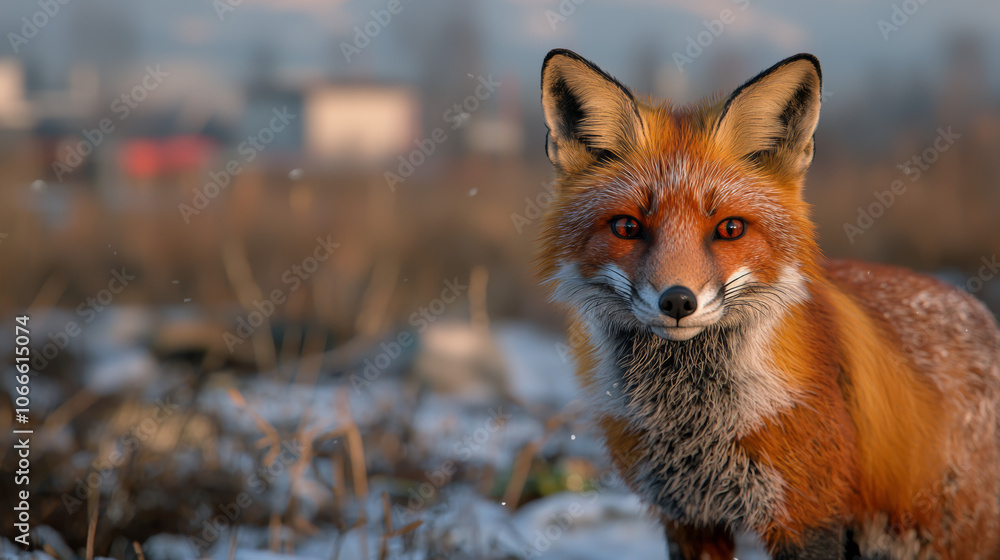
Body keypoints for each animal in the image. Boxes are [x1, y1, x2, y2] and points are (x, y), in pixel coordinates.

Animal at [537, 49, 1000, 559]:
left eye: (730, 228)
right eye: (626, 227)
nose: (677, 301)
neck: (694, 426)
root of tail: (976, 310)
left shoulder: (807, 517)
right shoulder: (688, 518)